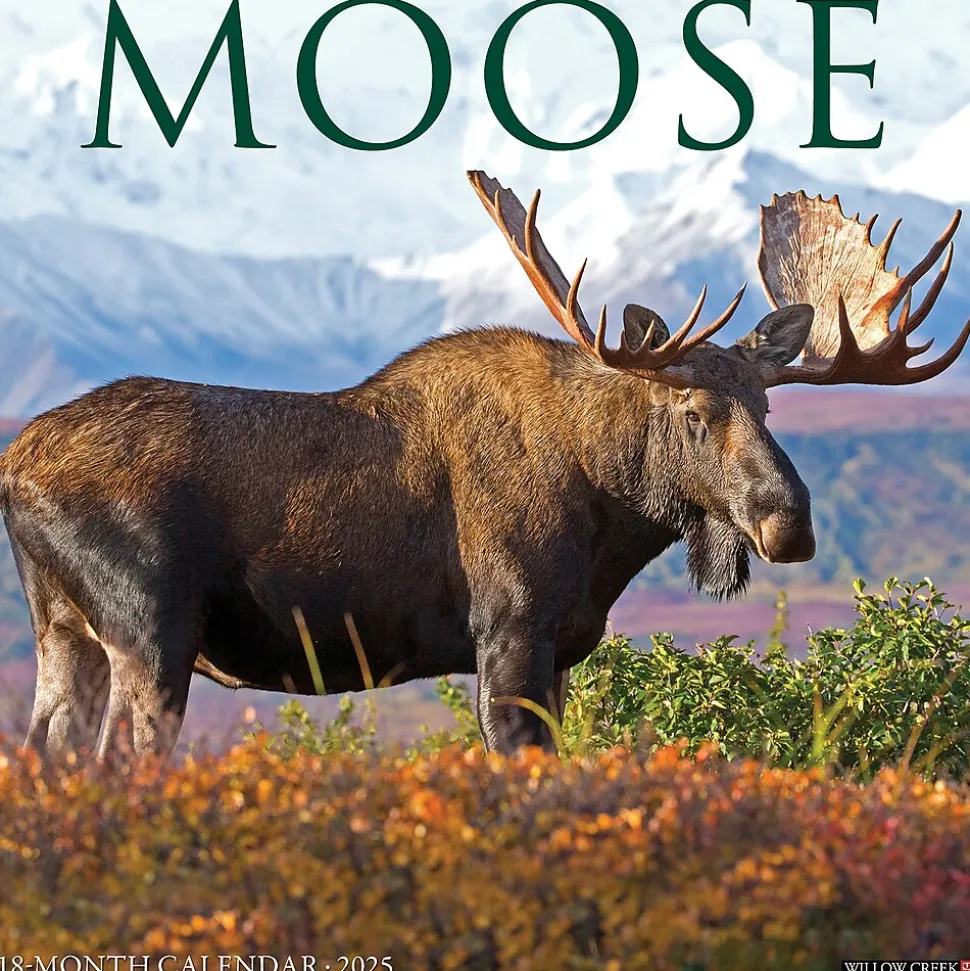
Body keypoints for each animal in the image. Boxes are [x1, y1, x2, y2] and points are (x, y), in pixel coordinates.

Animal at [1, 173, 967, 760]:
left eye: (768, 408)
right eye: (693, 413)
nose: (789, 522)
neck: (611, 520)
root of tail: (12, 466)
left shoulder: (563, 647)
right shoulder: (508, 629)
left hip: (66, 630)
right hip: (150, 628)